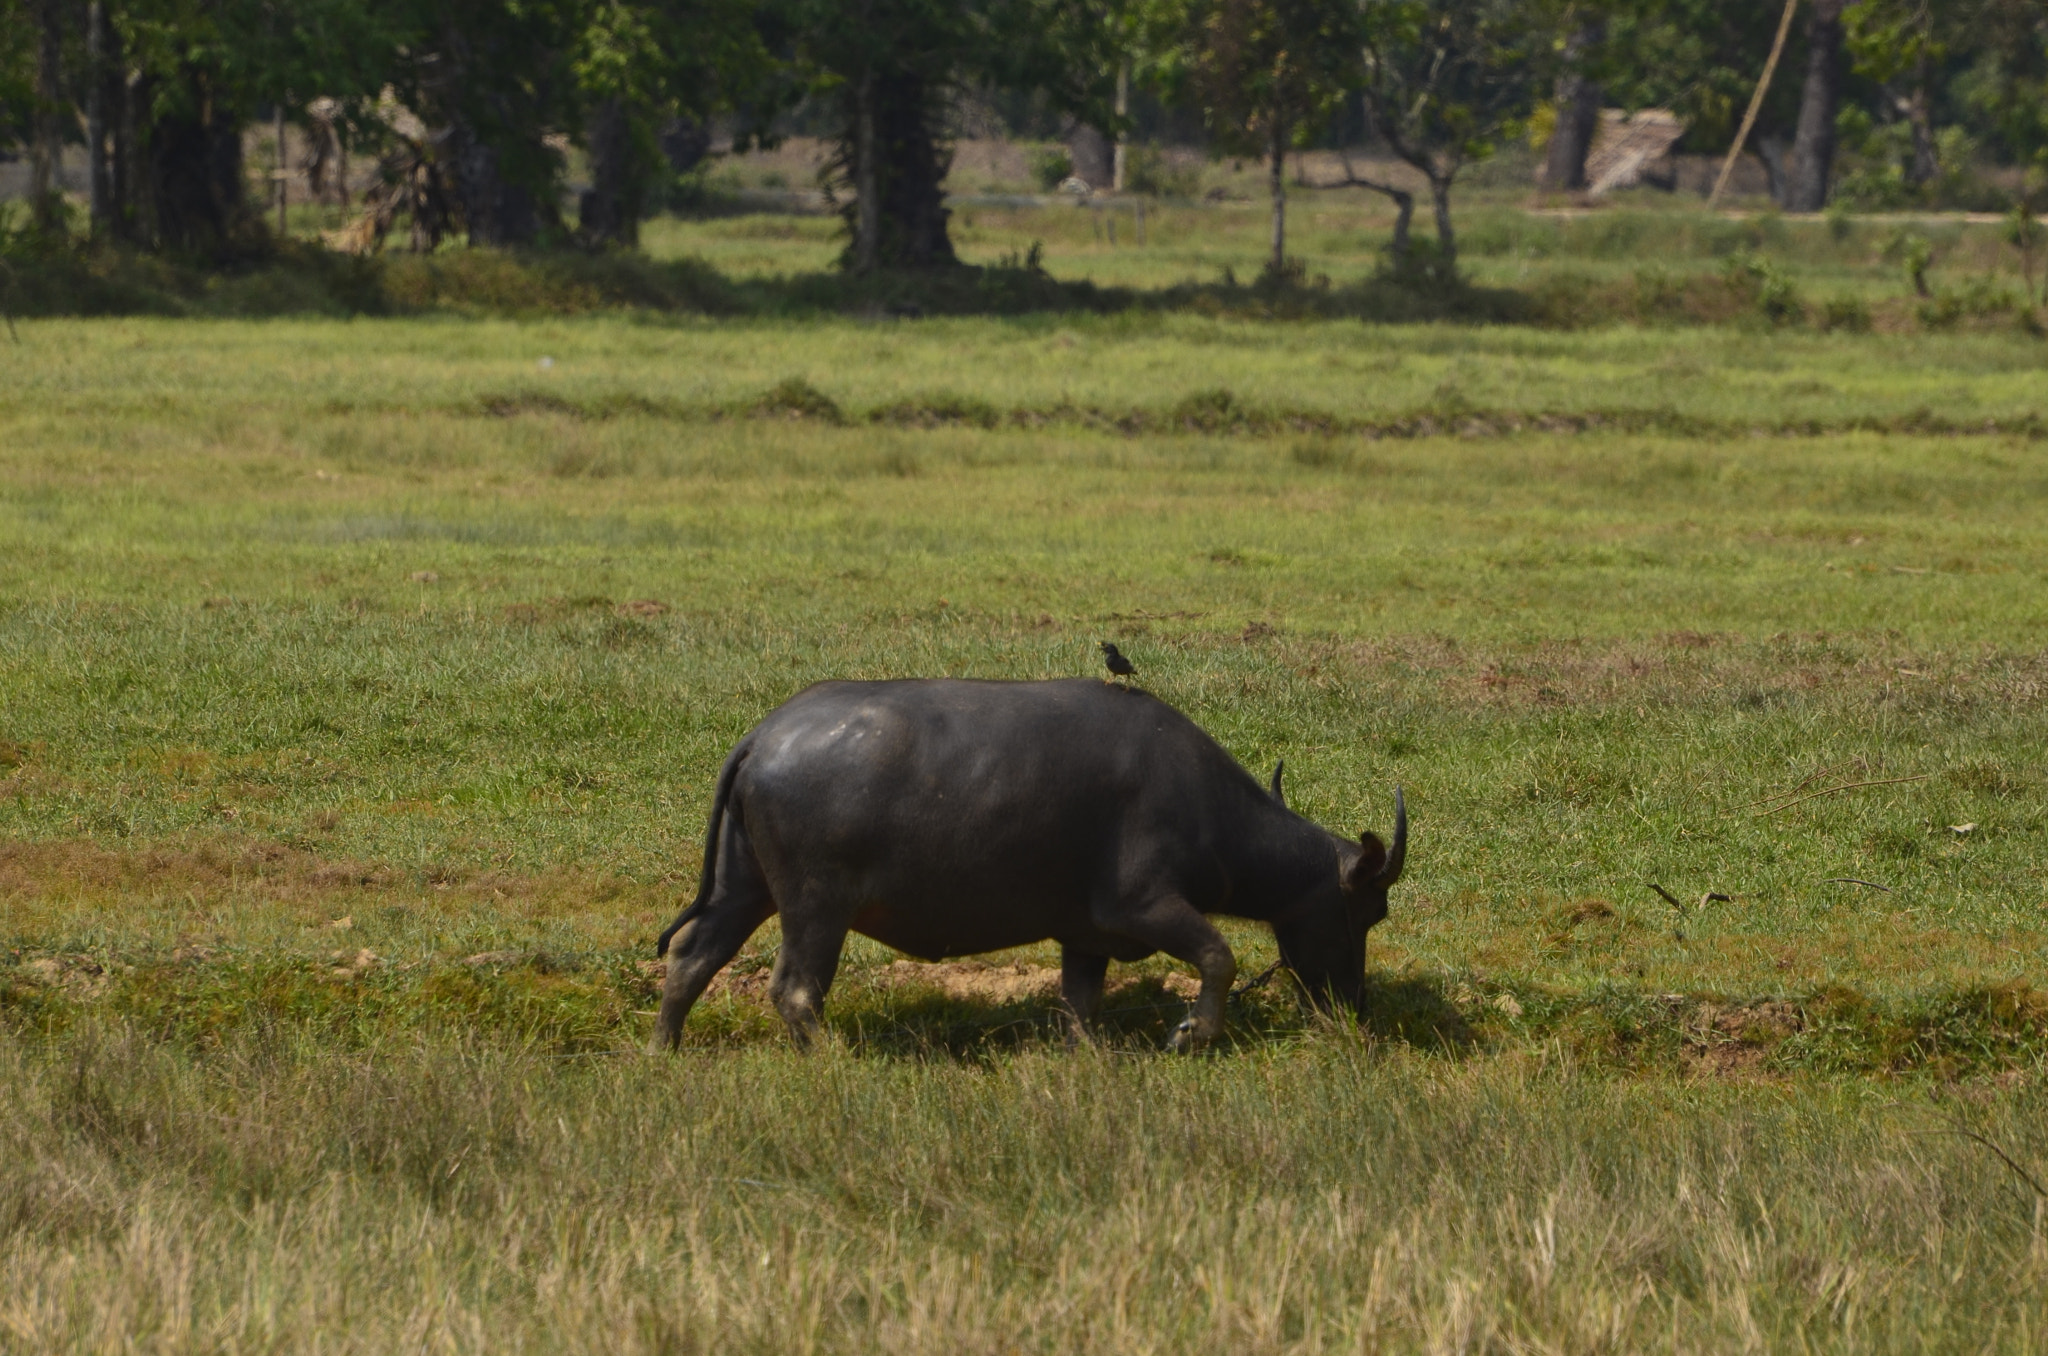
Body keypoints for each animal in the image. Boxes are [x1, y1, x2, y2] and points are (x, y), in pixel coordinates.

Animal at [650, 677, 1405, 1051]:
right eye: (1371, 909)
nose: (1355, 1005)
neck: (1204, 805)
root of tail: (763, 735)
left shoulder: (1086, 934)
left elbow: (1080, 1001)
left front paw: (1089, 1054)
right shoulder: (1143, 905)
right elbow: (1220, 956)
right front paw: (1192, 1032)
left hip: (743, 885)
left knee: (693, 958)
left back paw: (665, 1048)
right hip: (816, 906)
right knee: (795, 991)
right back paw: (834, 1055)